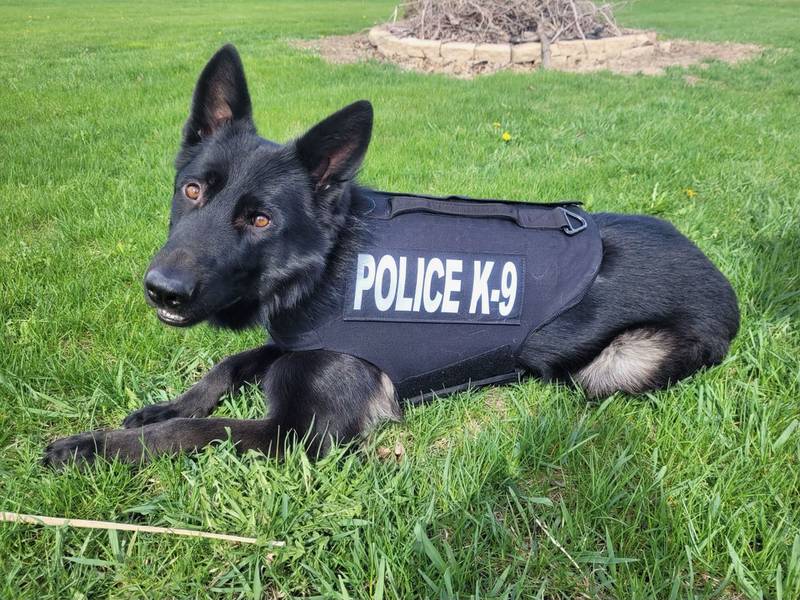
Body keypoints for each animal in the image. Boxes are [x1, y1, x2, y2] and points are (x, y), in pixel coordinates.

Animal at [42, 45, 736, 468]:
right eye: (192, 191)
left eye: (260, 219)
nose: (162, 288)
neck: (327, 265)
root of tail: (720, 275)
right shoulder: (294, 341)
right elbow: (229, 363)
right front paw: (166, 403)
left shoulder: (297, 435)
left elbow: (194, 432)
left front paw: (95, 447)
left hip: (613, 367)